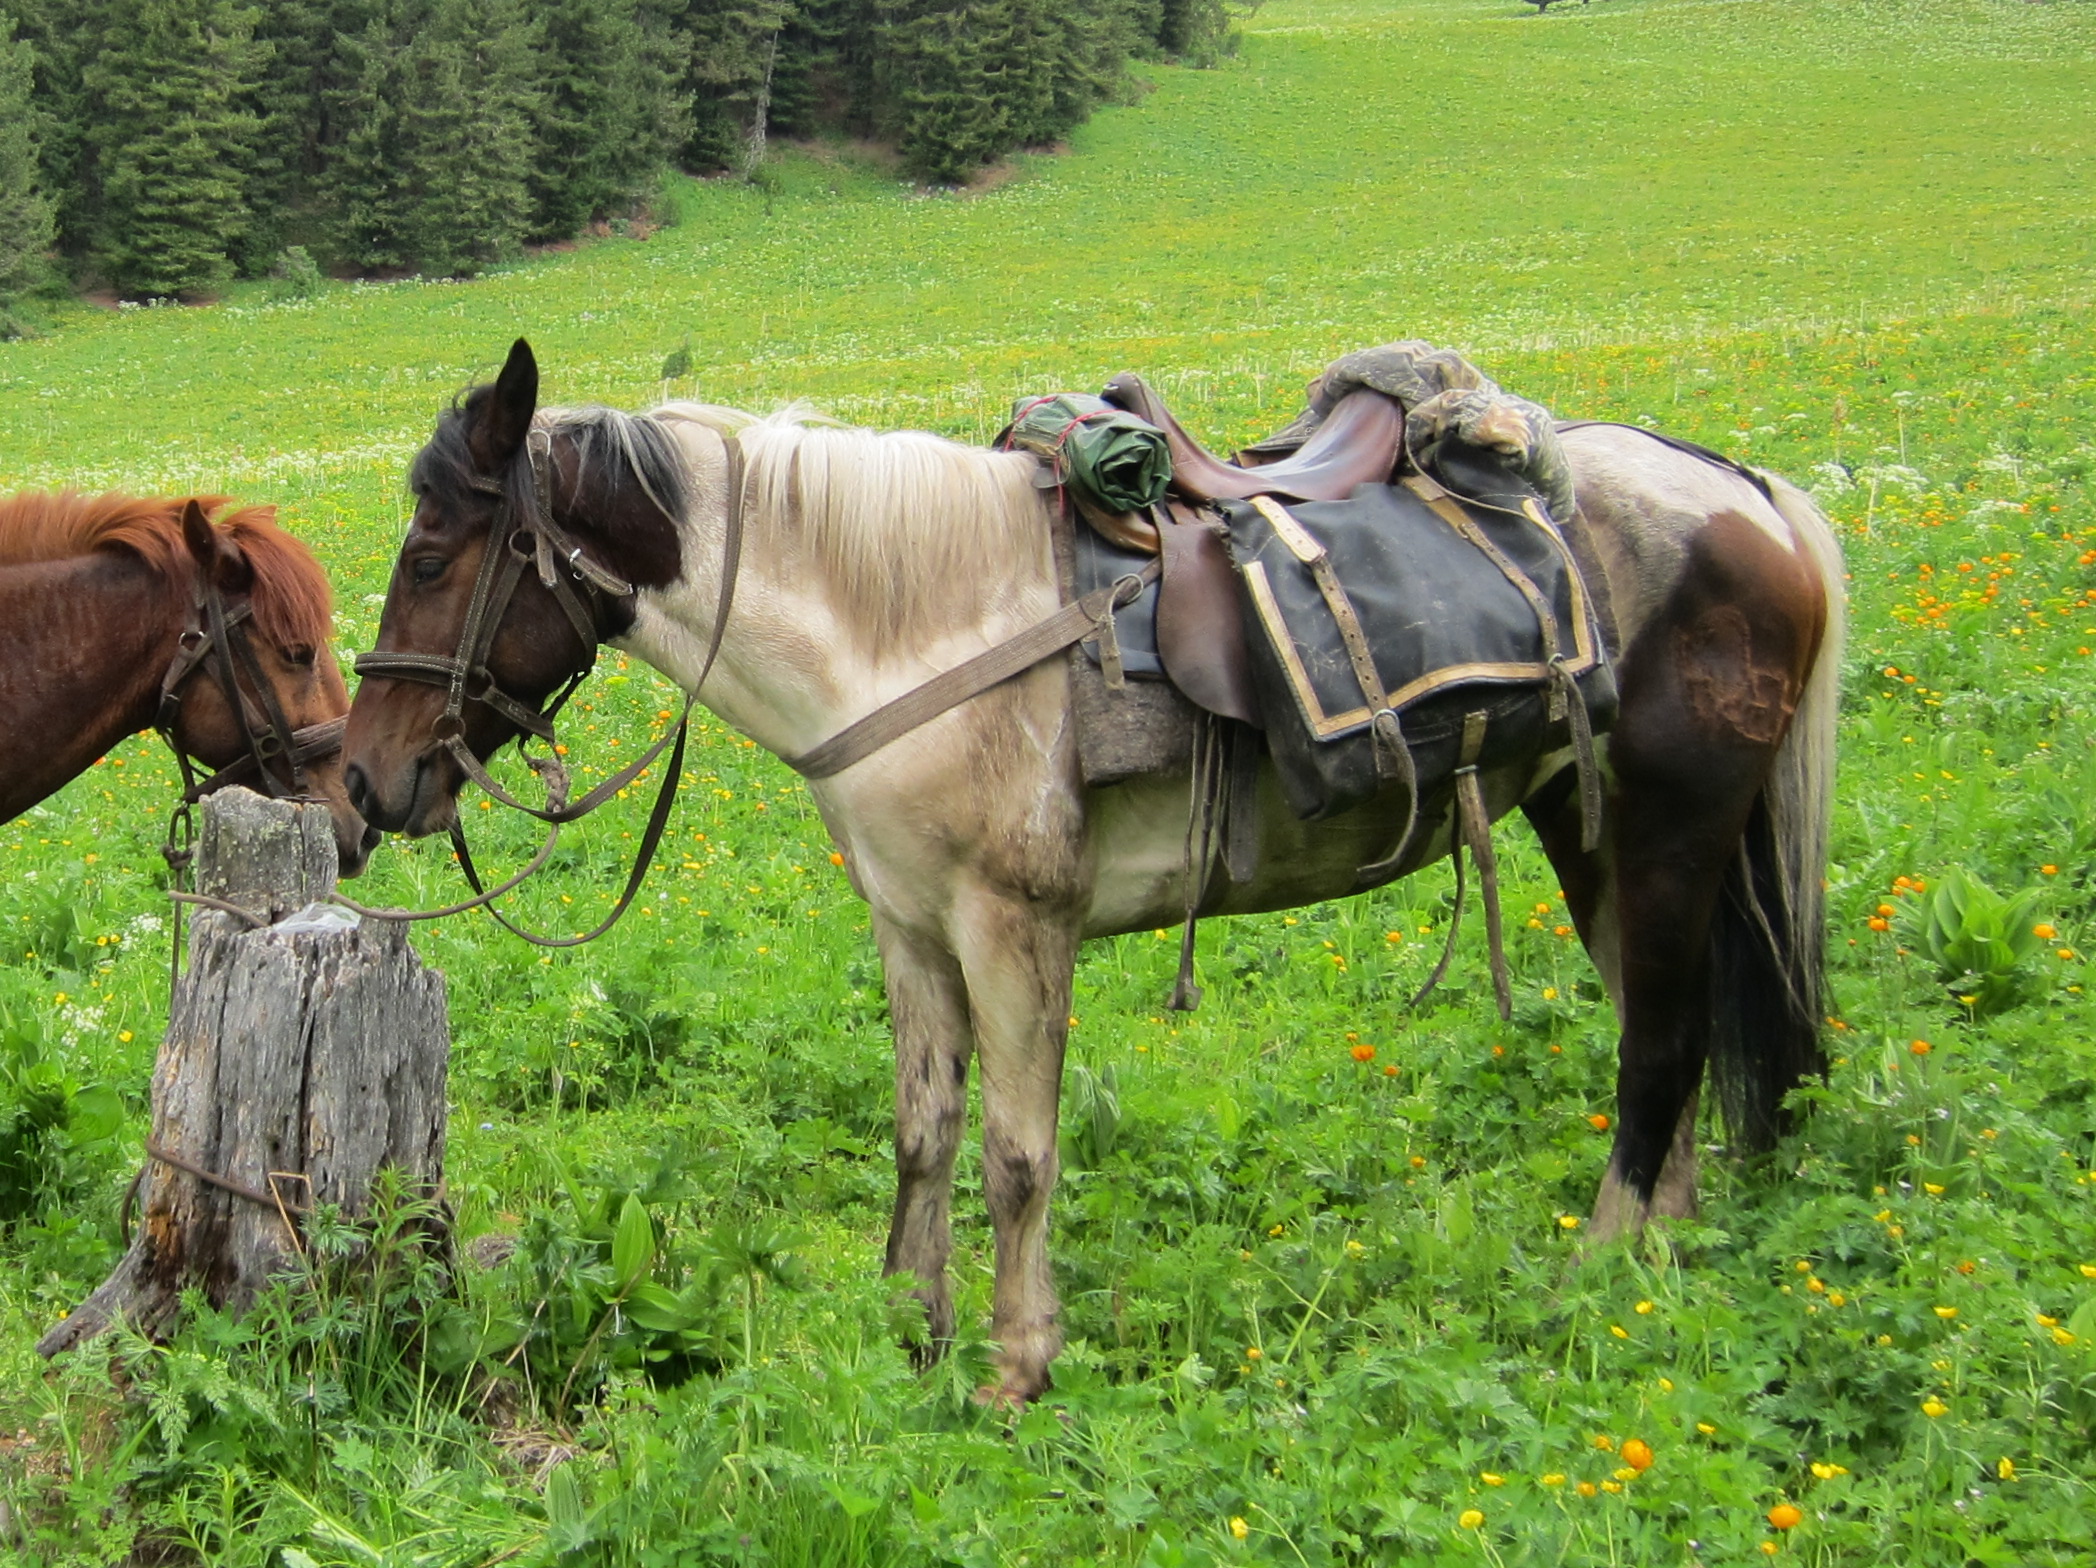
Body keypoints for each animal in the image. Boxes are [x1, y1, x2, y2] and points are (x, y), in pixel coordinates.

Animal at [347, 339, 1852, 1400]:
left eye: (429, 552)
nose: (363, 781)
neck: (915, 621)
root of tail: (1747, 495)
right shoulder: (909, 923)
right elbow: (924, 1129)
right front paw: (909, 1329)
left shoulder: (1018, 925)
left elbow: (1018, 1154)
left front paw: (1017, 1362)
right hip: (1586, 827)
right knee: (1675, 1032)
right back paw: (1661, 1257)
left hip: (1663, 828)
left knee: (1659, 1046)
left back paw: (1599, 1275)